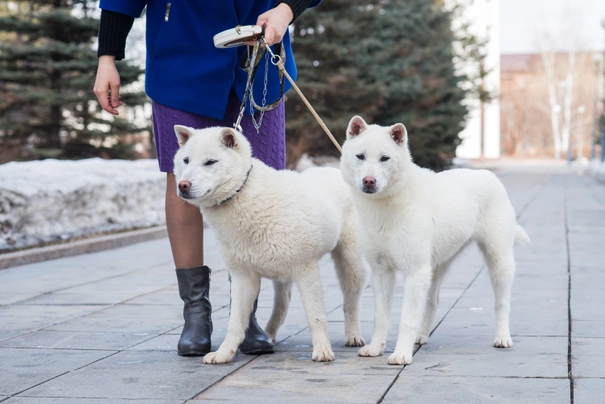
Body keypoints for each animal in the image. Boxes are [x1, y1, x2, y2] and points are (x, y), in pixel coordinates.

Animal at [172, 125, 366, 362]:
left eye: (210, 162)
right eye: (186, 161)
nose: (183, 185)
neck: (242, 193)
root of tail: (337, 171)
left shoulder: (306, 270)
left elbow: (316, 316)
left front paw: (322, 350)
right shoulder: (242, 276)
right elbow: (235, 322)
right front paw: (224, 353)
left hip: (351, 263)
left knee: (351, 300)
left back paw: (352, 335)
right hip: (282, 276)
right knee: (282, 306)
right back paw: (268, 334)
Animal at [340, 115, 528, 364]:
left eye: (384, 158)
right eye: (360, 156)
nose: (369, 181)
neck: (385, 206)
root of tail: (488, 174)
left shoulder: (414, 270)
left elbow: (406, 319)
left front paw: (401, 354)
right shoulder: (381, 271)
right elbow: (381, 316)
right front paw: (375, 348)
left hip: (499, 261)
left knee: (502, 303)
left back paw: (503, 338)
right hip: (436, 267)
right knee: (432, 302)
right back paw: (421, 337)